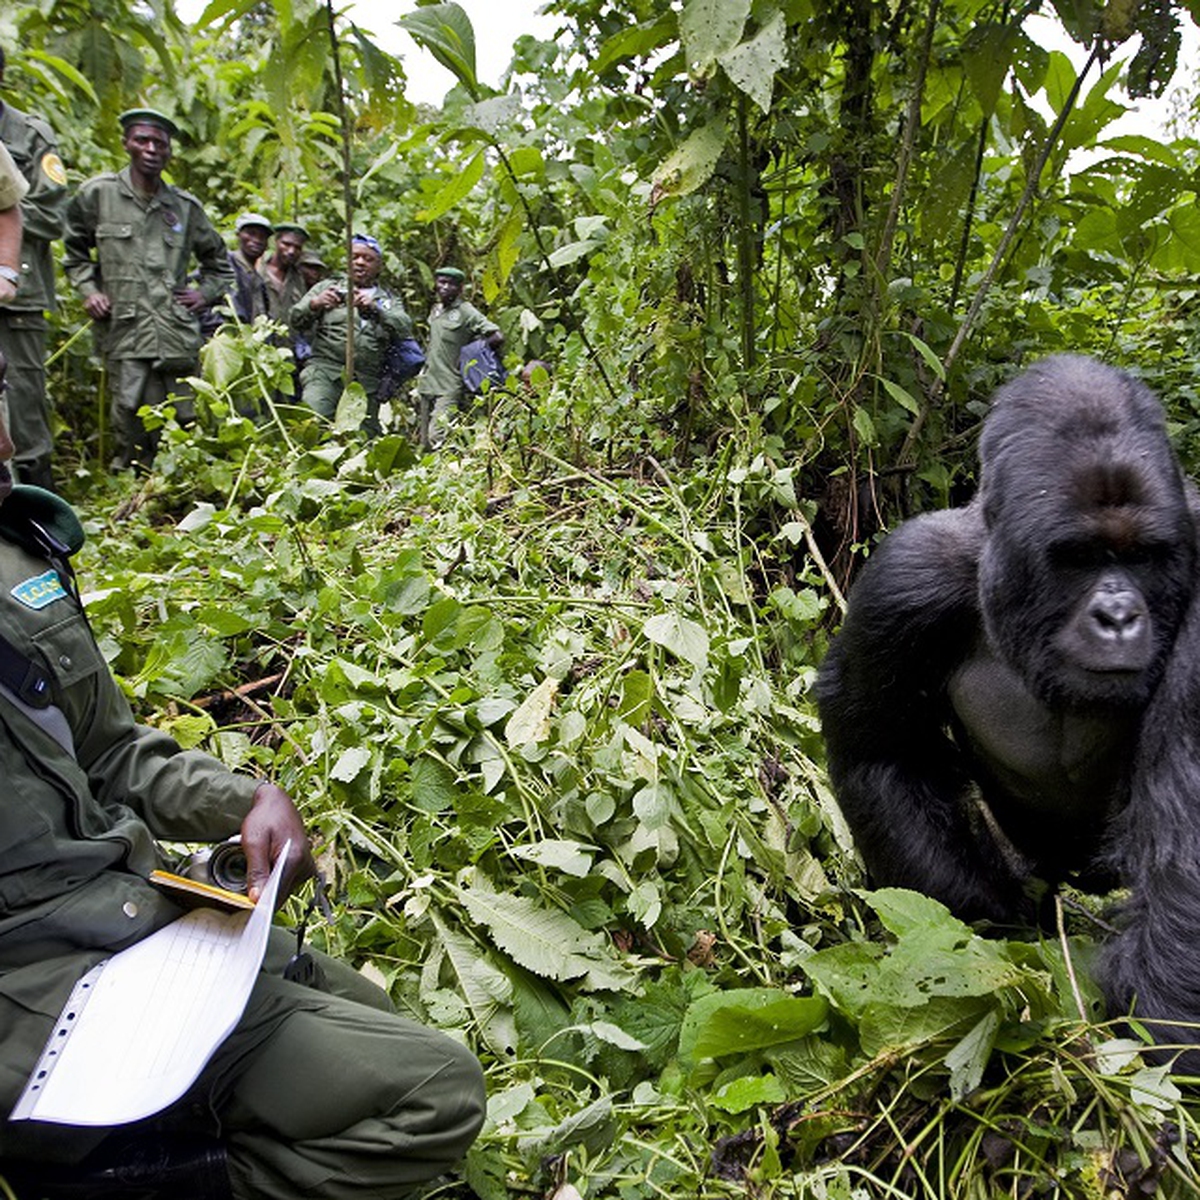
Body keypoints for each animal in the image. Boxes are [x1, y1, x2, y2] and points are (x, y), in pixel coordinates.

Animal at [820, 357, 1200, 1070]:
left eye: (1141, 555)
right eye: (1079, 557)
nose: (1118, 617)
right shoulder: (908, 578)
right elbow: (884, 757)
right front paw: (988, 929)